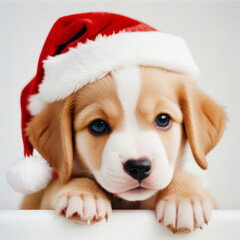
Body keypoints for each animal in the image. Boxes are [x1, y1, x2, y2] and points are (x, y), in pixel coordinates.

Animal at [21, 65, 226, 232]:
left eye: (163, 119)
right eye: (98, 125)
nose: (139, 167)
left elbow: (185, 177)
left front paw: (184, 198)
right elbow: (58, 182)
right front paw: (82, 194)